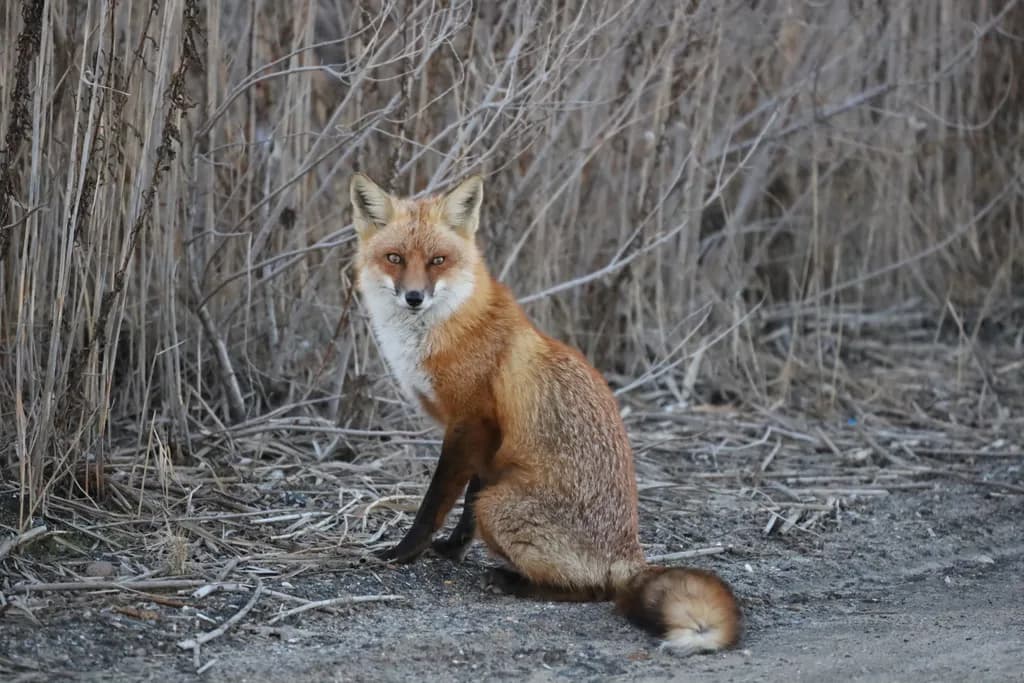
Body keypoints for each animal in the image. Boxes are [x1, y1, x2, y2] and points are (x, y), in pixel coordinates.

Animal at [350, 172, 740, 654]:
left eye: (438, 260)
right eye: (395, 258)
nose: (414, 297)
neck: (445, 329)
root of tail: (629, 555)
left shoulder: (472, 422)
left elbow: (436, 503)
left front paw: (403, 553)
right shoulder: (487, 443)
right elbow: (465, 508)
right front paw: (453, 550)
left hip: (501, 506)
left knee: (596, 590)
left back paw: (512, 580)